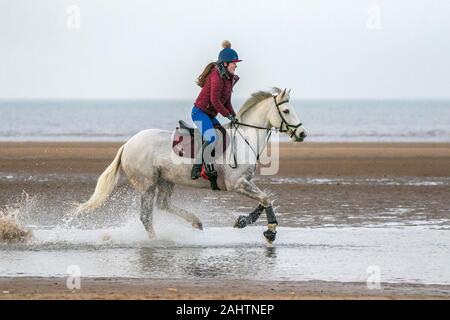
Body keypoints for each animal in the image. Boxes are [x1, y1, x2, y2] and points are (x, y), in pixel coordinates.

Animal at [77, 87, 308, 242]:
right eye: (287, 111)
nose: (302, 133)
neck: (245, 138)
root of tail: (128, 144)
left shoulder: (246, 182)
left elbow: (265, 198)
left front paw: (244, 221)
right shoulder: (237, 184)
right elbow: (266, 198)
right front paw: (270, 230)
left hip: (166, 181)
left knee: (162, 205)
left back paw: (195, 222)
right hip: (147, 185)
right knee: (146, 216)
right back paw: (156, 241)